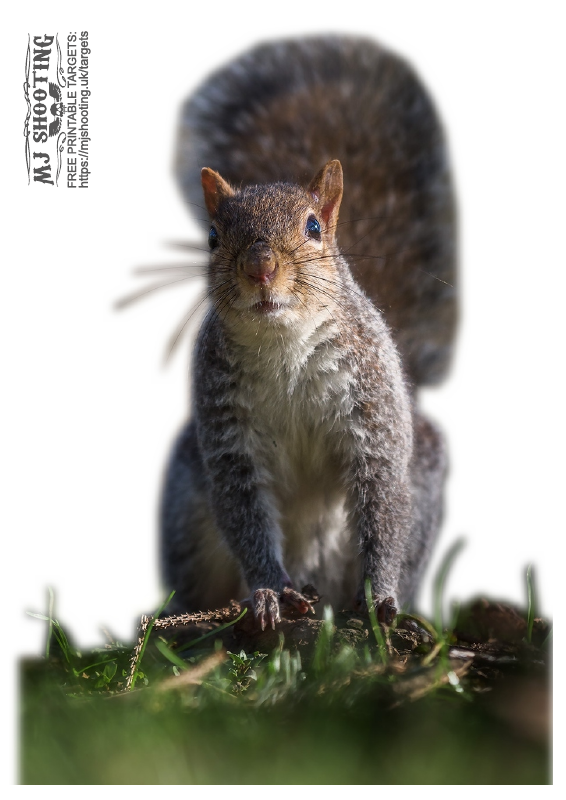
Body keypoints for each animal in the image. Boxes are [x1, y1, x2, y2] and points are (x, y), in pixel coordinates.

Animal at [160, 35, 457, 629]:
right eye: (213, 236)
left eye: (314, 227)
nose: (260, 267)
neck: (283, 345)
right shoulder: (229, 437)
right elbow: (246, 517)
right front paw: (271, 593)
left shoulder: (372, 412)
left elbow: (382, 504)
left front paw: (381, 595)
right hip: (188, 510)